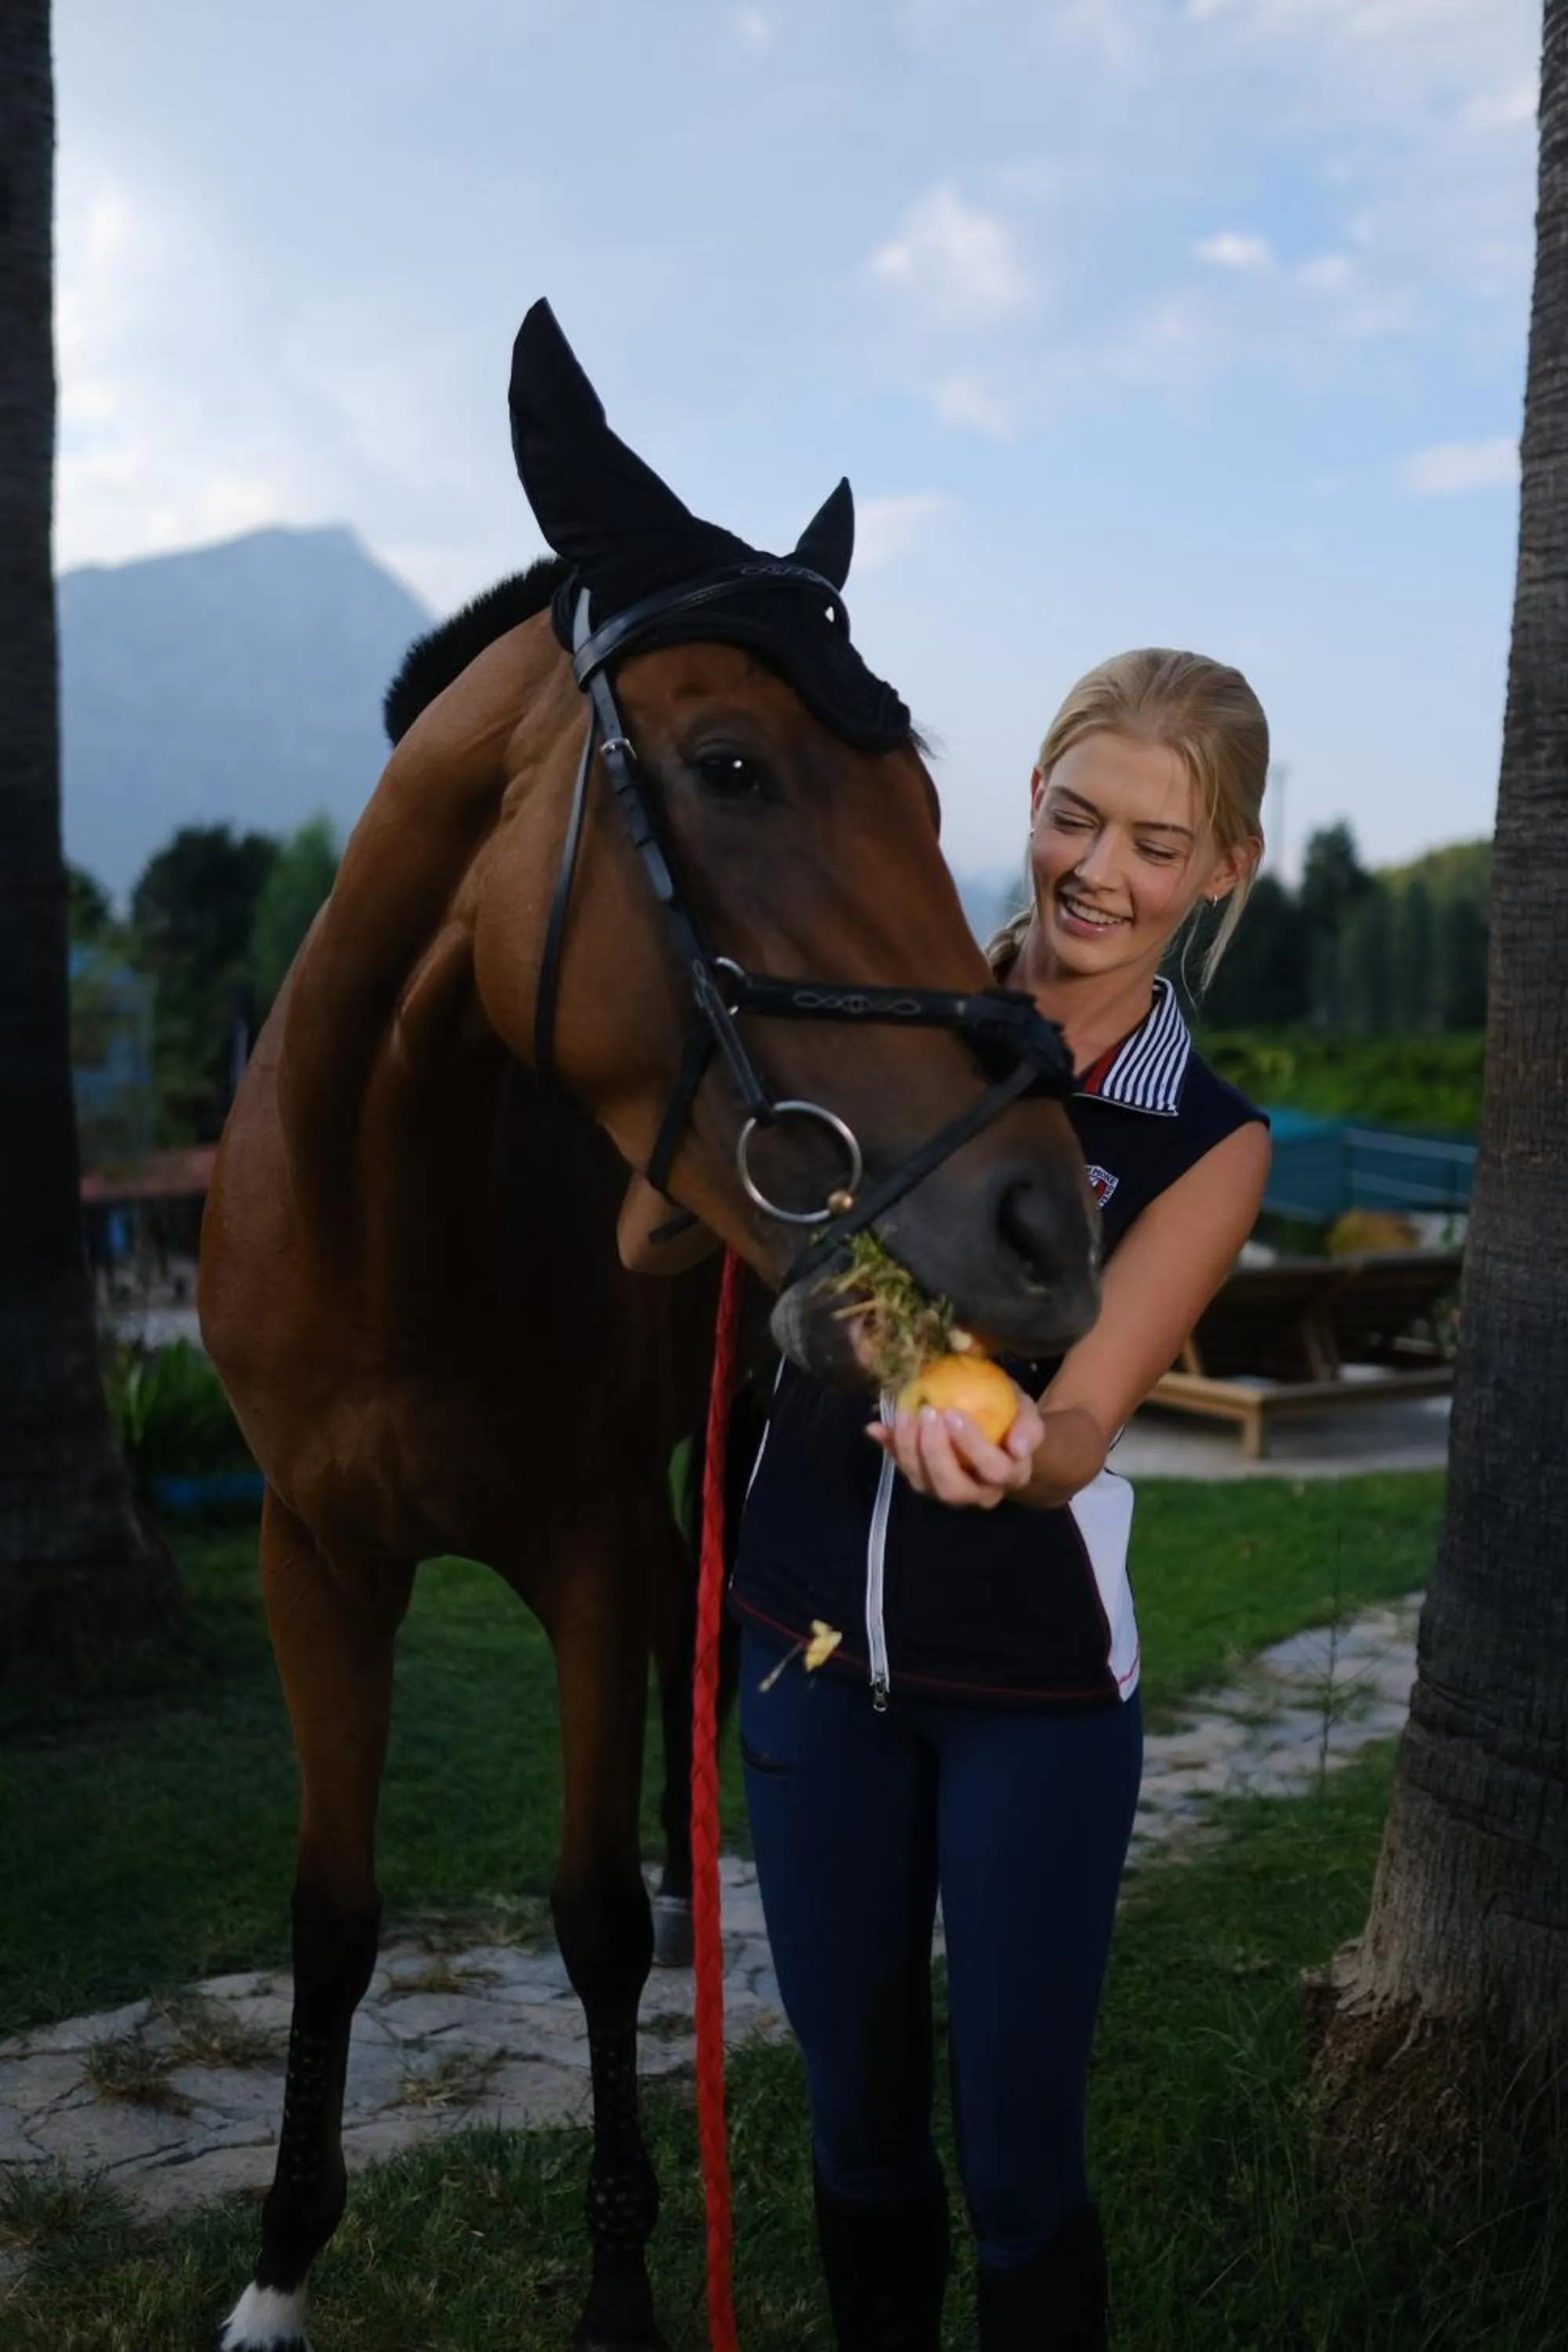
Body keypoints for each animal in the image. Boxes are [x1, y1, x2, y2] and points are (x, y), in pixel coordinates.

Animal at [198, 300, 1101, 2352]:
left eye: (930, 798)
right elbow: (328, 1914)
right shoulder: (310, 1556)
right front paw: (281, 2263)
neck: (394, 1217)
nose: (1045, 1218)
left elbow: (592, 1917)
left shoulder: (589, 1539)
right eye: (733, 763)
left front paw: (618, 2285)